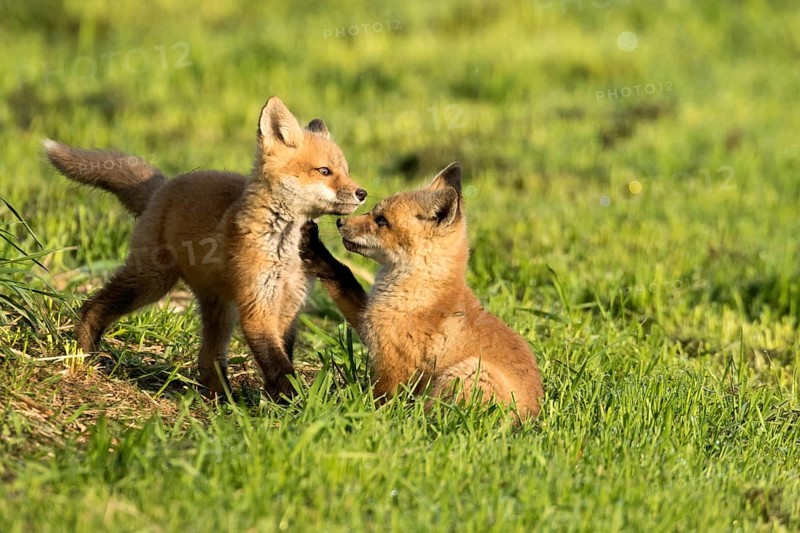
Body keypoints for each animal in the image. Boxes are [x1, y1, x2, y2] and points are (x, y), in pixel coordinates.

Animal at [44, 96, 367, 400]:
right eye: (324, 171)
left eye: (346, 171)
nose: (362, 193)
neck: (284, 249)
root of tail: (163, 186)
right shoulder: (258, 308)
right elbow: (279, 365)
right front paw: (298, 403)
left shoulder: (289, 305)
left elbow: (281, 358)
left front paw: (279, 401)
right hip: (152, 281)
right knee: (93, 305)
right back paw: (84, 353)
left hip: (219, 309)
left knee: (207, 358)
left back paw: (221, 398)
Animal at [300, 162, 543, 419]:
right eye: (373, 213)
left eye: (382, 221)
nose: (340, 223)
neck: (421, 293)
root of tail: (532, 416)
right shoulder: (367, 322)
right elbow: (343, 276)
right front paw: (316, 252)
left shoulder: (394, 363)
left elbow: (378, 402)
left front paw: (363, 414)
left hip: (466, 374)